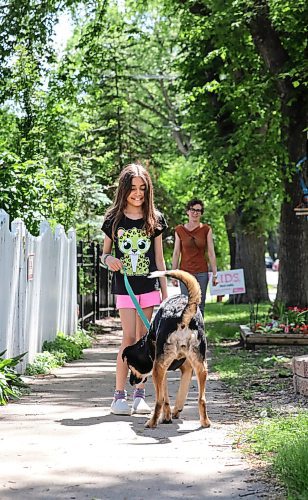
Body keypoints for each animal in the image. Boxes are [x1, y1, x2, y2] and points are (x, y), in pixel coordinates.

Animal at [121, 270, 211, 430]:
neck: (148, 342)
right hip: (201, 367)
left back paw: (151, 423)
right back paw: (205, 422)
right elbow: (180, 395)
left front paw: (166, 417)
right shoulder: (187, 369)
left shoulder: (160, 369)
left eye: (130, 366)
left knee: (159, 401)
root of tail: (182, 316)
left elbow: (165, 398)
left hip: (158, 369)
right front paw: (173, 413)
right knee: (202, 399)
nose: (131, 382)